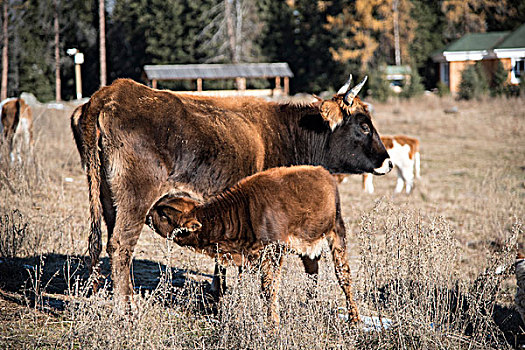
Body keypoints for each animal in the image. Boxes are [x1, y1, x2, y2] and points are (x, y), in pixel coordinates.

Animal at [146, 165, 360, 324]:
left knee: (343, 276)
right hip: (309, 250)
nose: (148, 213)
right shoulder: (249, 259)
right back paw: (311, 306)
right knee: (312, 275)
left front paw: (272, 324)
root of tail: (323, 173)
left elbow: (269, 289)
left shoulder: (273, 253)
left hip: (337, 234)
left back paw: (354, 318)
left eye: (164, 214)